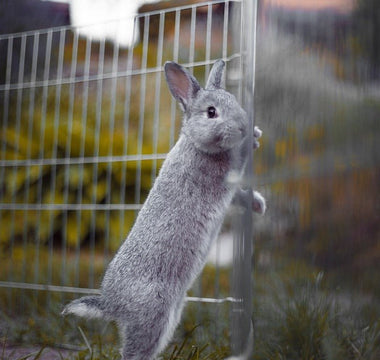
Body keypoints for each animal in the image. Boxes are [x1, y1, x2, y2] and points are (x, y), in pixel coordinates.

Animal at [62, 60, 266, 358]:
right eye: (211, 112)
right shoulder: (220, 173)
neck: (195, 143)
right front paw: (251, 140)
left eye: (235, 101)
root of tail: (111, 305)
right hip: (153, 314)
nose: (242, 125)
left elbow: (240, 195)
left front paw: (259, 205)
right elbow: (237, 162)